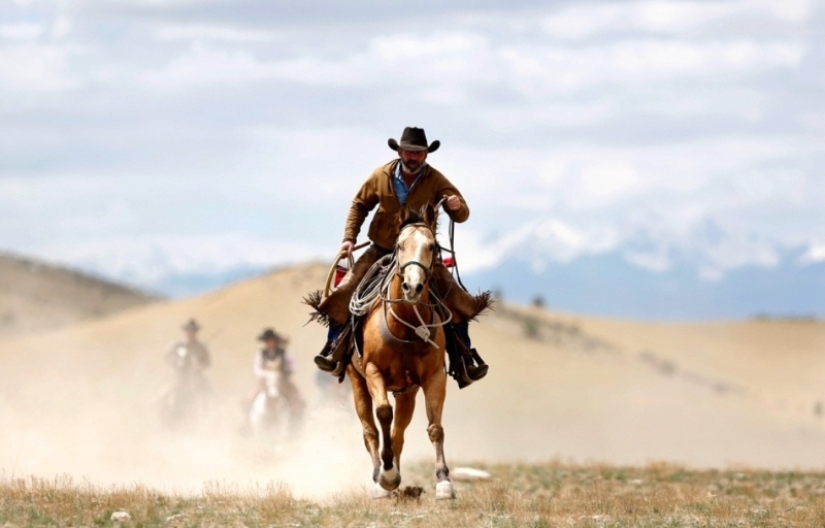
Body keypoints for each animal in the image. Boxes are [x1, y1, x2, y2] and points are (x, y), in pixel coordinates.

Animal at [344, 205, 454, 500]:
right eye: (400, 245)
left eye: (431, 246)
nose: (412, 287)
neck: (406, 325)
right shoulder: (373, 372)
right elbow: (383, 413)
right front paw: (387, 475)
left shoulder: (433, 377)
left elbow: (435, 427)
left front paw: (444, 482)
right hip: (357, 382)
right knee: (370, 430)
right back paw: (380, 479)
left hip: (407, 393)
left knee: (399, 432)